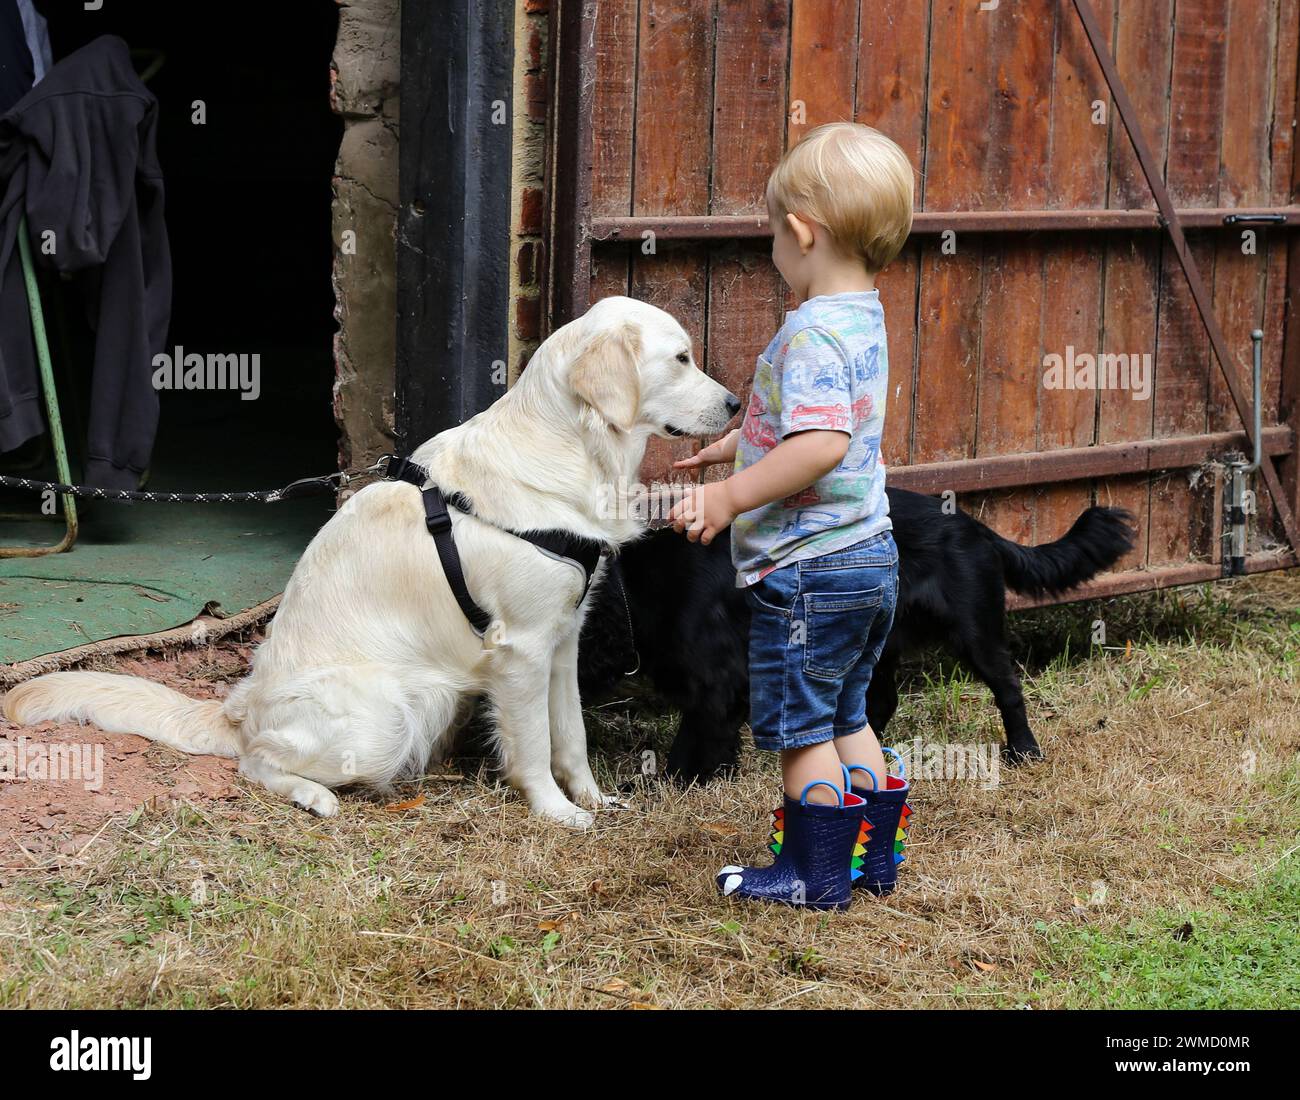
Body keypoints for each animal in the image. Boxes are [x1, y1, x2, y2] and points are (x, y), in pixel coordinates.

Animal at [7, 299, 743, 826]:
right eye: (681, 358)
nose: (736, 403)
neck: (570, 448)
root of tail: (240, 706)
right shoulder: (523, 649)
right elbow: (534, 743)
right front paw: (556, 813)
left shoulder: (561, 640)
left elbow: (571, 735)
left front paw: (591, 798)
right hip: (385, 718)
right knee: (255, 762)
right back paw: (315, 796)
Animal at [579, 488, 1138, 785]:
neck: (631, 588)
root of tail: (978, 528)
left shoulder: (717, 682)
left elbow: (692, 744)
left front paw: (669, 784)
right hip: (877, 639)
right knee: (880, 701)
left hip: (974, 632)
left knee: (1008, 687)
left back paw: (1023, 750)